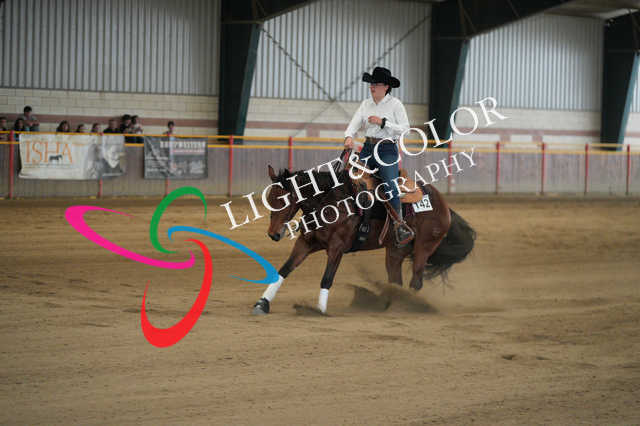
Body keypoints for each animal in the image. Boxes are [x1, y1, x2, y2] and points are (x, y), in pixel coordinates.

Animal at [251, 163, 476, 315]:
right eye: (269, 199)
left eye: (284, 201)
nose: (273, 234)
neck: (330, 202)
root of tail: (444, 206)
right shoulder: (305, 243)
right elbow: (284, 270)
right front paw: (262, 303)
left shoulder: (337, 248)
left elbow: (327, 278)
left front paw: (319, 310)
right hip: (395, 251)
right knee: (396, 280)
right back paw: (387, 304)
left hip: (423, 248)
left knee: (416, 282)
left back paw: (405, 305)